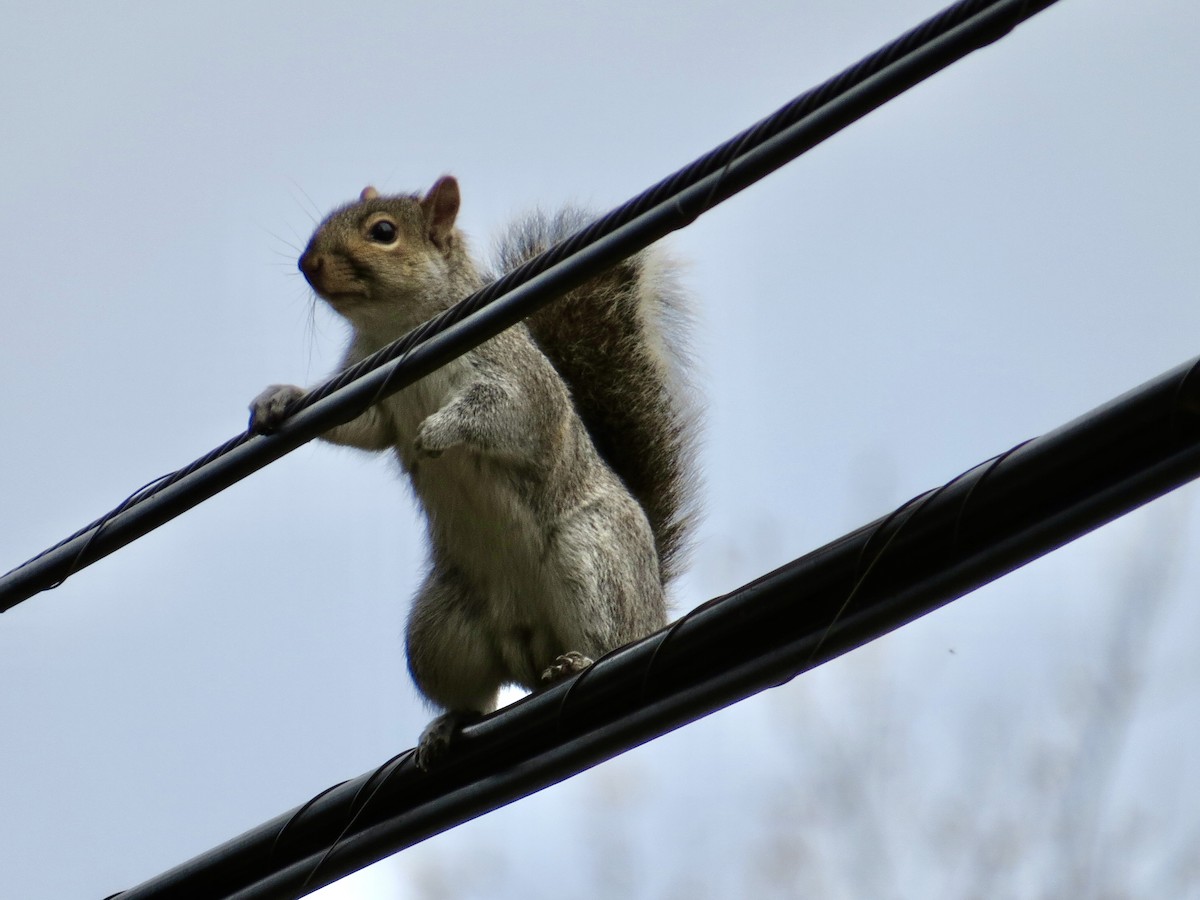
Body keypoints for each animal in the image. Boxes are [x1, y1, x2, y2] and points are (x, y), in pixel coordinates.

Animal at [249, 176, 698, 770]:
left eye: (383, 232)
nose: (309, 263)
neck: (399, 329)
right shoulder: (371, 393)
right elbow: (362, 429)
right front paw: (281, 400)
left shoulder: (512, 375)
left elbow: (504, 412)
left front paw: (437, 432)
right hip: (437, 629)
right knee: (475, 694)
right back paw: (448, 725)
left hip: (592, 556)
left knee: (611, 636)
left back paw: (582, 663)